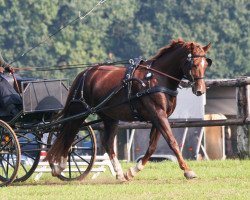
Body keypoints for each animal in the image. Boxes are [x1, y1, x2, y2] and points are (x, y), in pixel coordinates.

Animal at [46, 39, 212, 181]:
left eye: (205, 64)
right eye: (194, 64)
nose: (200, 90)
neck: (157, 78)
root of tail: (84, 73)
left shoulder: (159, 117)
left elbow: (152, 146)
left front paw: (132, 171)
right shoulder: (158, 114)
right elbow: (172, 142)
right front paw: (188, 171)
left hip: (110, 117)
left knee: (107, 143)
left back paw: (119, 173)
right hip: (79, 111)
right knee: (68, 134)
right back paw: (59, 165)